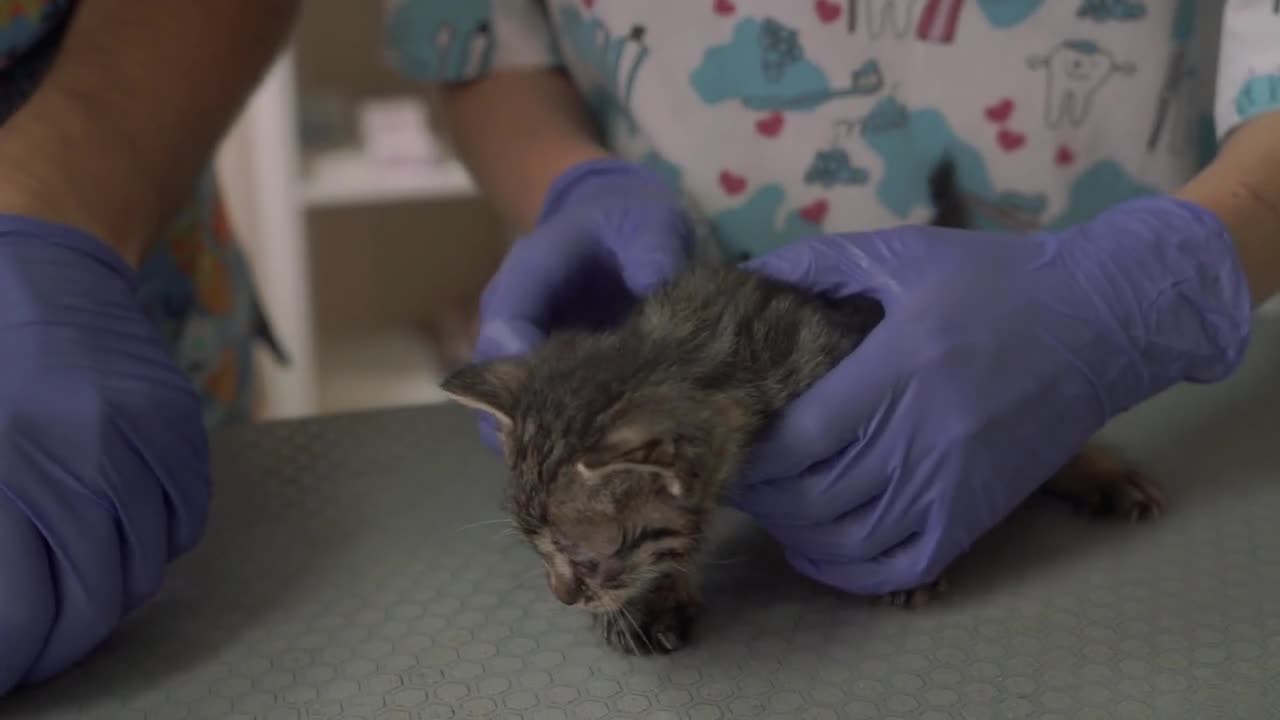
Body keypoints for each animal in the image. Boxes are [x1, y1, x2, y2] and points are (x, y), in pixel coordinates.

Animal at [440, 159, 1162, 653]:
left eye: (584, 557)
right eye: (537, 552)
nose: (561, 597)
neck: (690, 340)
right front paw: (657, 599)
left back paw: (1097, 472)